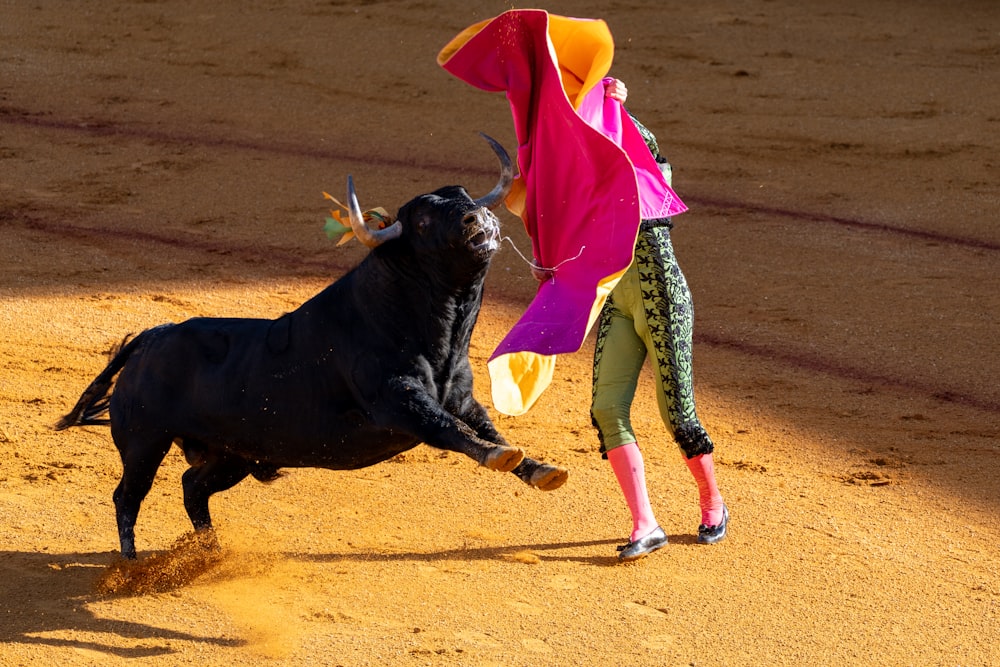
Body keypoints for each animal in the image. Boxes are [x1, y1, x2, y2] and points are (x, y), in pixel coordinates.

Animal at [58, 137, 568, 564]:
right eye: (422, 221)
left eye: (464, 197)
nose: (475, 218)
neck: (435, 331)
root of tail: (152, 337)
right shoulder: (397, 400)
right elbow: (450, 430)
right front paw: (500, 458)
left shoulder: (460, 397)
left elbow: (487, 428)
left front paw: (542, 470)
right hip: (145, 439)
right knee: (129, 495)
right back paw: (131, 563)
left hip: (232, 454)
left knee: (191, 488)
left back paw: (210, 553)